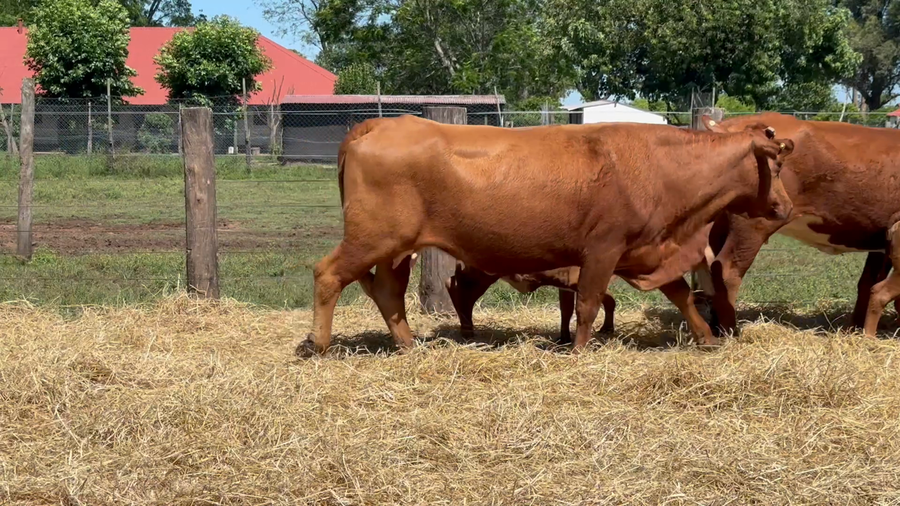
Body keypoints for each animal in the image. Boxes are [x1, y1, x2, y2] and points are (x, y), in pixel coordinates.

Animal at [296, 115, 794, 357]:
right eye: (776, 165)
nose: (786, 207)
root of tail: (379, 123)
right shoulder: (603, 249)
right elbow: (589, 304)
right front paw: (578, 350)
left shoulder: (645, 248)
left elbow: (681, 294)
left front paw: (707, 339)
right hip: (372, 238)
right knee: (327, 274)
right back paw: (317, 345)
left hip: (396, 249)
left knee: (387, 292)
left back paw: (408, 345)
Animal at [698, 112, 900, 337]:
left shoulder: (881, 242)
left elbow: (867, 282)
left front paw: (854, 329)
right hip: (752, 225)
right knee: (727, 271)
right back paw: (731, 332)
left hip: (721, 225)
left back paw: (715, 327)